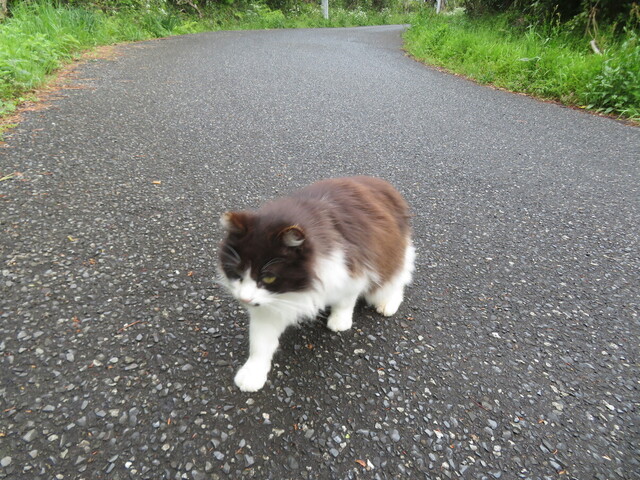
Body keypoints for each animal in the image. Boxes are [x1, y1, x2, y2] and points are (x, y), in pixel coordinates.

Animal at [218, 176, 415, 392]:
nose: (244, 299)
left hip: (392, 252)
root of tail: (379, 182)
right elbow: (260, 341)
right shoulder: (270, 302)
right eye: (237, 273)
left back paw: (388, 302)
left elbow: (346, 300)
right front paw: (253, 373)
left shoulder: (350, 268)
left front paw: (339, 320)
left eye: (269, 277)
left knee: (397, 278)